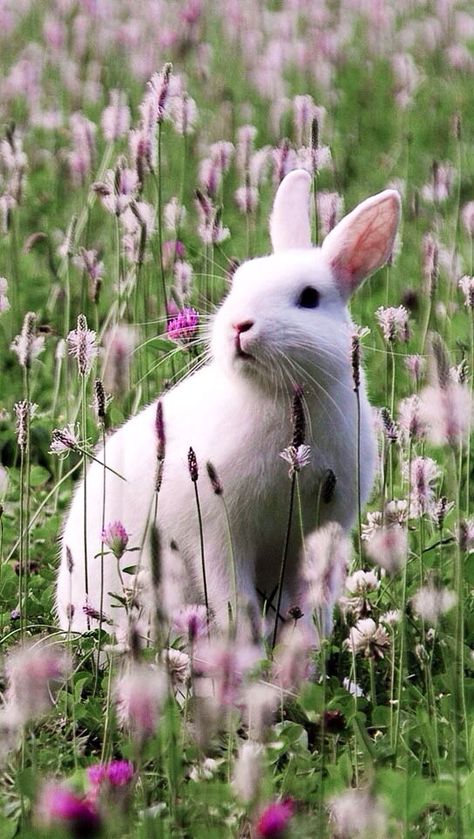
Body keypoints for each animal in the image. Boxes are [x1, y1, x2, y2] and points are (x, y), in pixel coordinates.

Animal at [56, 171, 400, 644]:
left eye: (310, 297)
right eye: (239, 282)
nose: (240, 325)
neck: (277, 397)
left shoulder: (321, 533)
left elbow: (310, 602)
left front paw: (305, 650)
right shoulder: (218, 536)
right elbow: (234, 600)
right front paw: (249, 652)